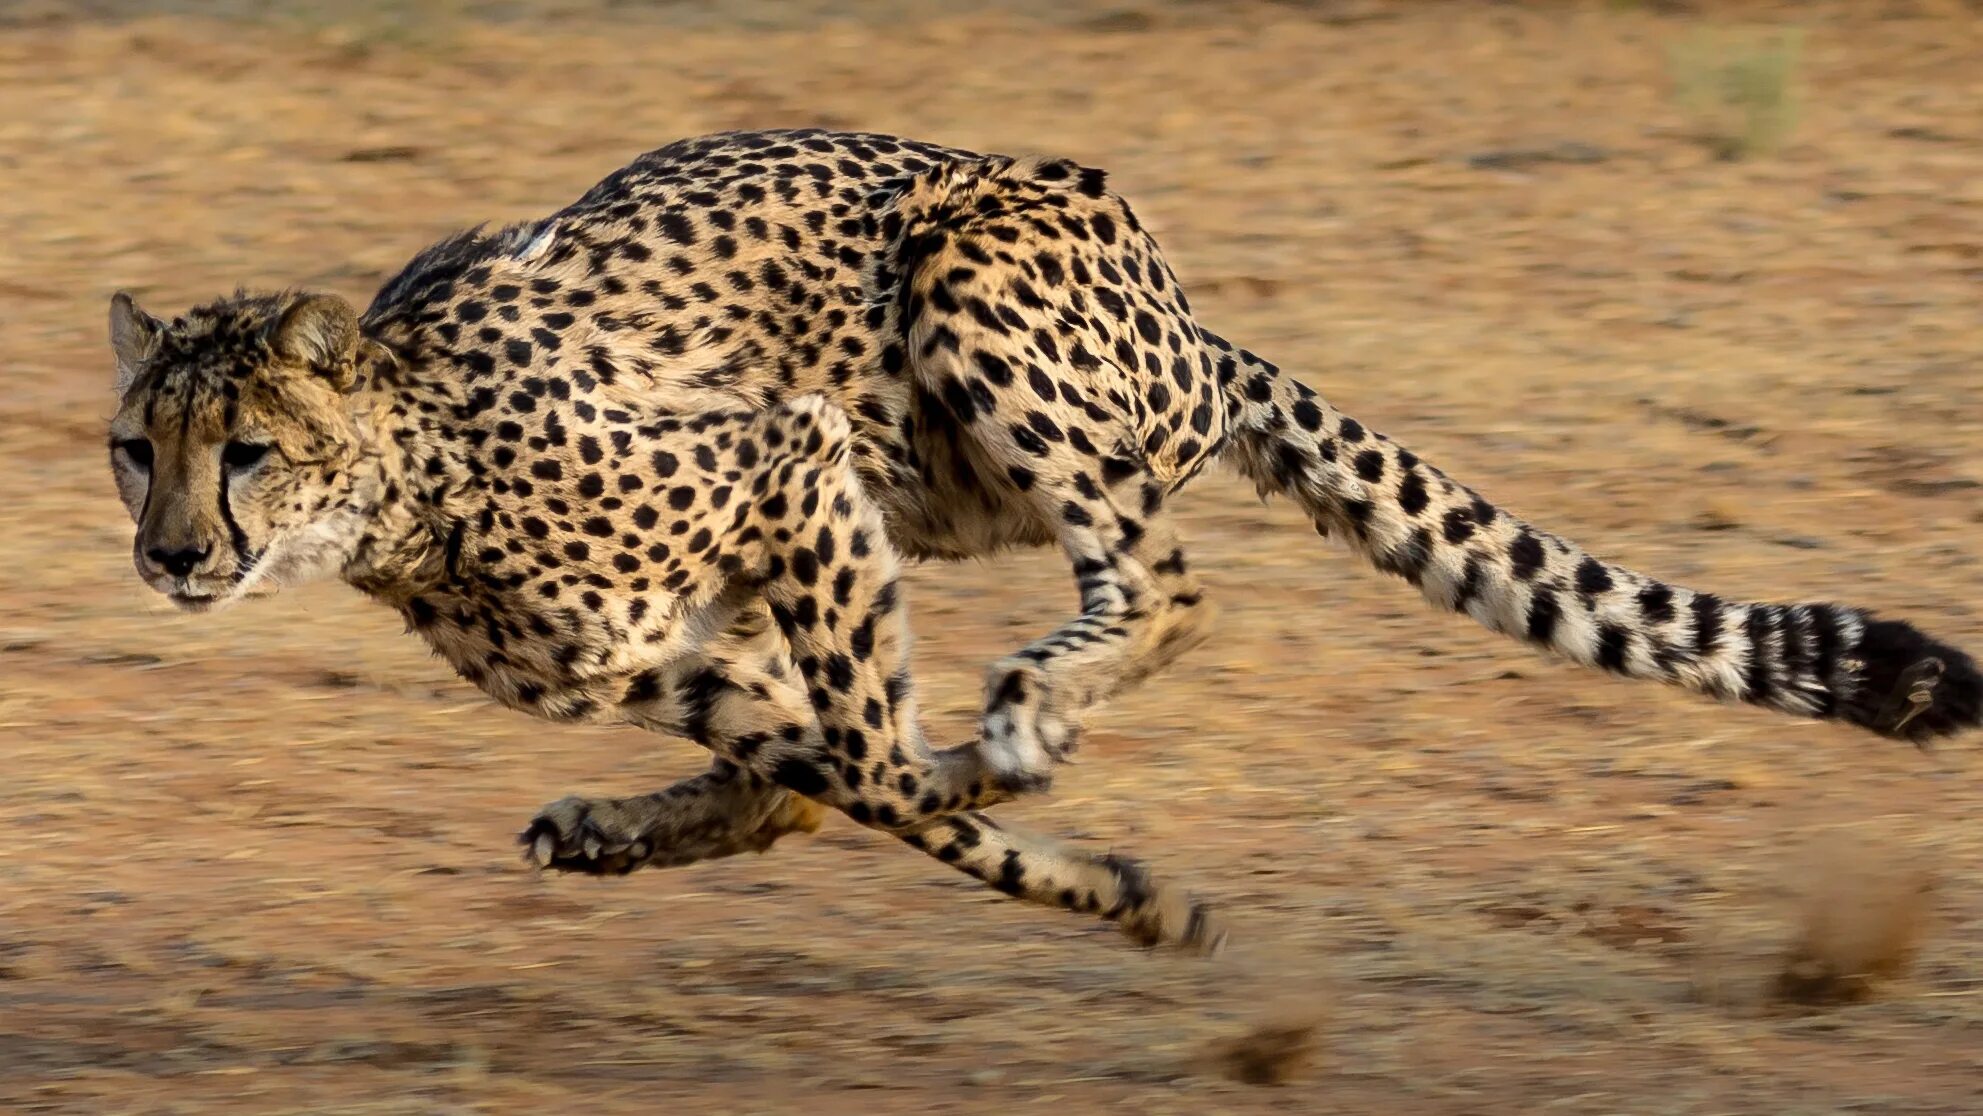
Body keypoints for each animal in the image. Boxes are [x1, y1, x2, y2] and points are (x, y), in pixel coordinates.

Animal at [108, 128, 1983, 951]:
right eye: (139, 450)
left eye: (247, 451)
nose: (172, 556)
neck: (407, 484)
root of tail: (1186, 310)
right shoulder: (670, 648)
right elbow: (827, 774)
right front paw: (1096, 878)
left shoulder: (786, 459)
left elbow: (873, 767)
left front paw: (1073, 850)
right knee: (826, 760)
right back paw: (647, 824)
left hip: (967, 295)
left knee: (1163, 582)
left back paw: (1027, 711)